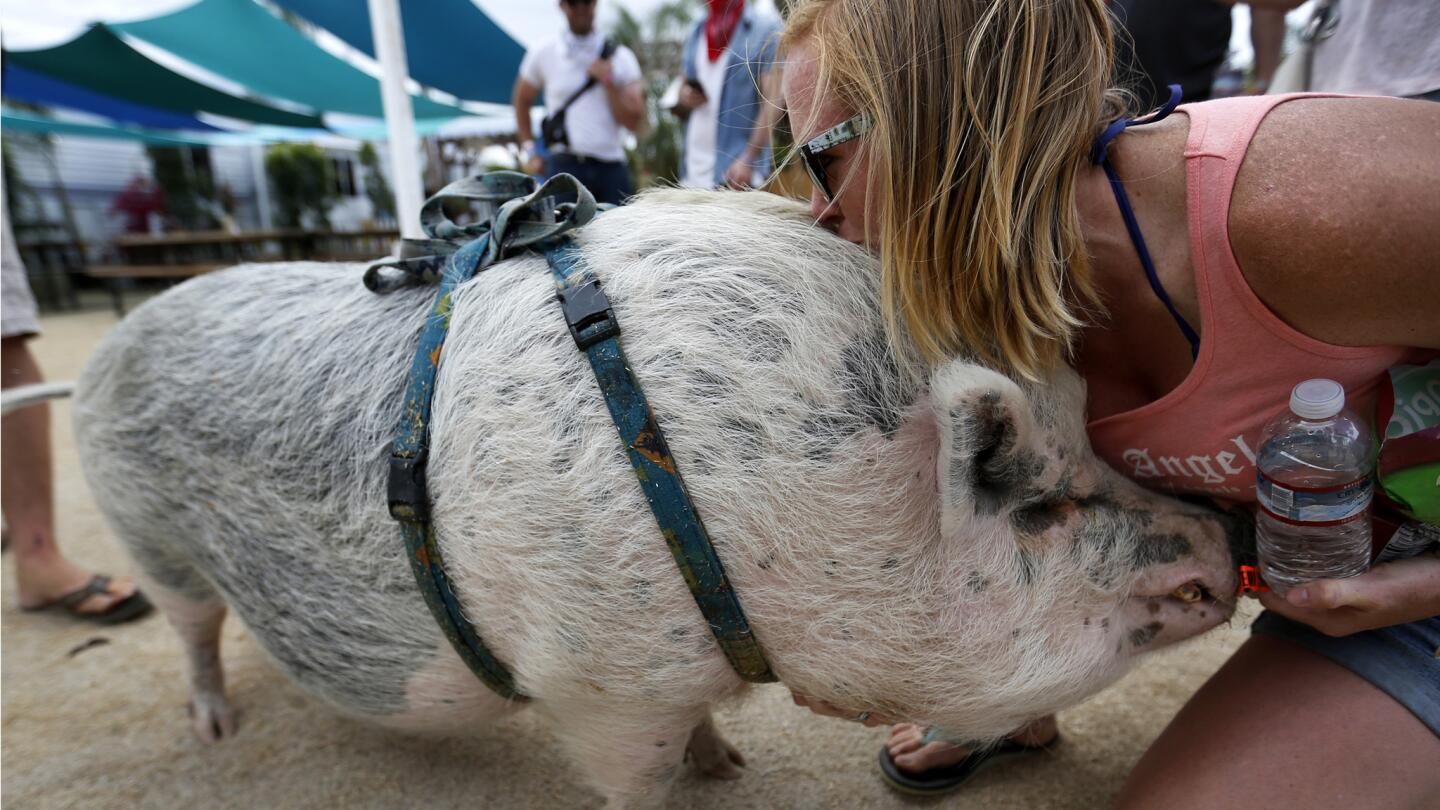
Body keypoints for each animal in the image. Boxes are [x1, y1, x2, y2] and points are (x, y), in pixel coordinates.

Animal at [73, 188, 1249, 807]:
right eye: (1039, 507)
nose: (1214, 547)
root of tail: (103, 356)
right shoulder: (599, 687)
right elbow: (633, 780)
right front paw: (709, 774)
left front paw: (726, 761)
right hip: (143, 530)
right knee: (191, 628)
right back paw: (213, 734)